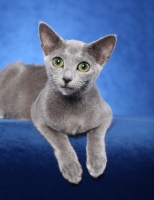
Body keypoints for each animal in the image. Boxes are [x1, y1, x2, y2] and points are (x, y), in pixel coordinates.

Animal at [0, 22, 116, 184]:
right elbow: (60, 139)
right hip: (12, 67)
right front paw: (72, 169)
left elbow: (96, 134)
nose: (67, 78)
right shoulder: (39, 117)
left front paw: (97, 163)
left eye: (84, 66)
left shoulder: (107, 113)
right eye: (58, 62)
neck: (72, 104)